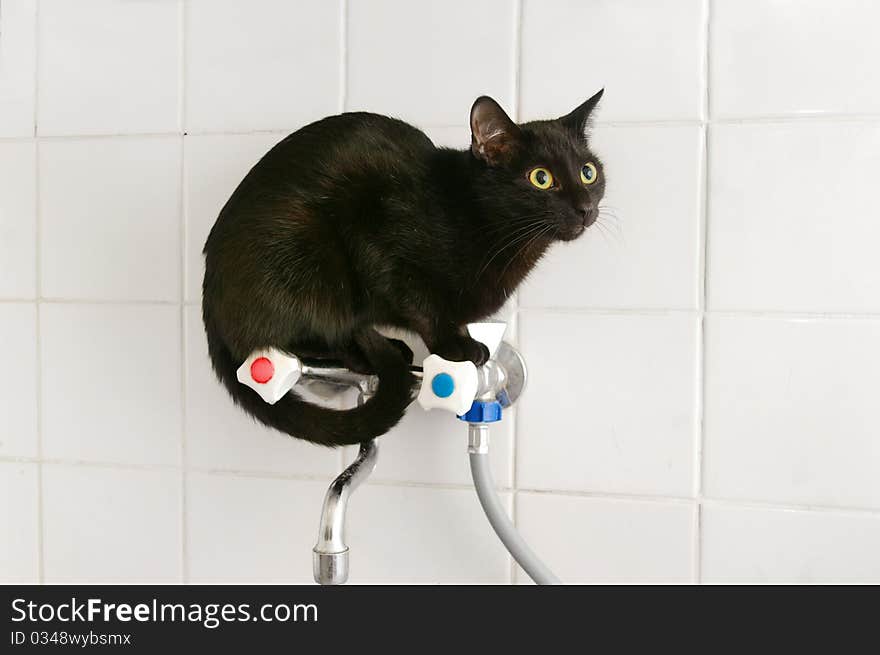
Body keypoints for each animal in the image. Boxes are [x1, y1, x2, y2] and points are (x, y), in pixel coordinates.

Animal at [202, 91, 604, 446]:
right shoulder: (380, 243)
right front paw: (457, 347)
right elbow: (423, 309)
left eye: (589, 173)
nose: (586, 208)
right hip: (313, 259)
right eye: (541, 178)